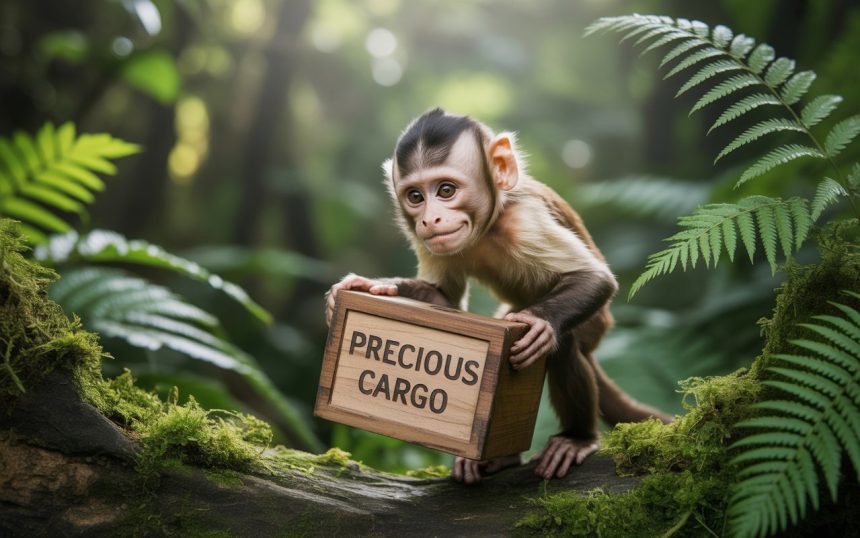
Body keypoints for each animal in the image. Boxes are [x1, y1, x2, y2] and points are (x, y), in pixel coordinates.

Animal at [325, 108, 671, 484]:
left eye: (445, 190)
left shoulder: (525, 222)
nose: (430, 220)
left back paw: (577, 437)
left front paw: (539, 323)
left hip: (596, 324)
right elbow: (443, 299)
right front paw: (380, 286)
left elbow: (596, 279)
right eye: (415, 197)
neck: (488, 227)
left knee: (564, 346)